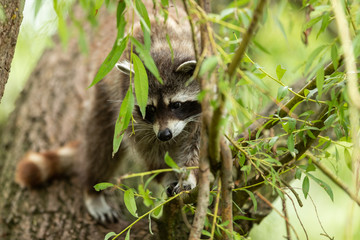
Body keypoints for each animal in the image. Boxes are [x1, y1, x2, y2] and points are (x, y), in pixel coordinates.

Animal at [15, 1, 201, 223]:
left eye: (176, 105)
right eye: (149, 109)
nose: (165, 135)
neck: (164, 47)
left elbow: (198, 143)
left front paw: (189, 174)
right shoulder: (128, 101)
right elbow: (145, 146)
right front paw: (164, 174)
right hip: (105, 96)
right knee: (100, 145)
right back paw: (92, 189)